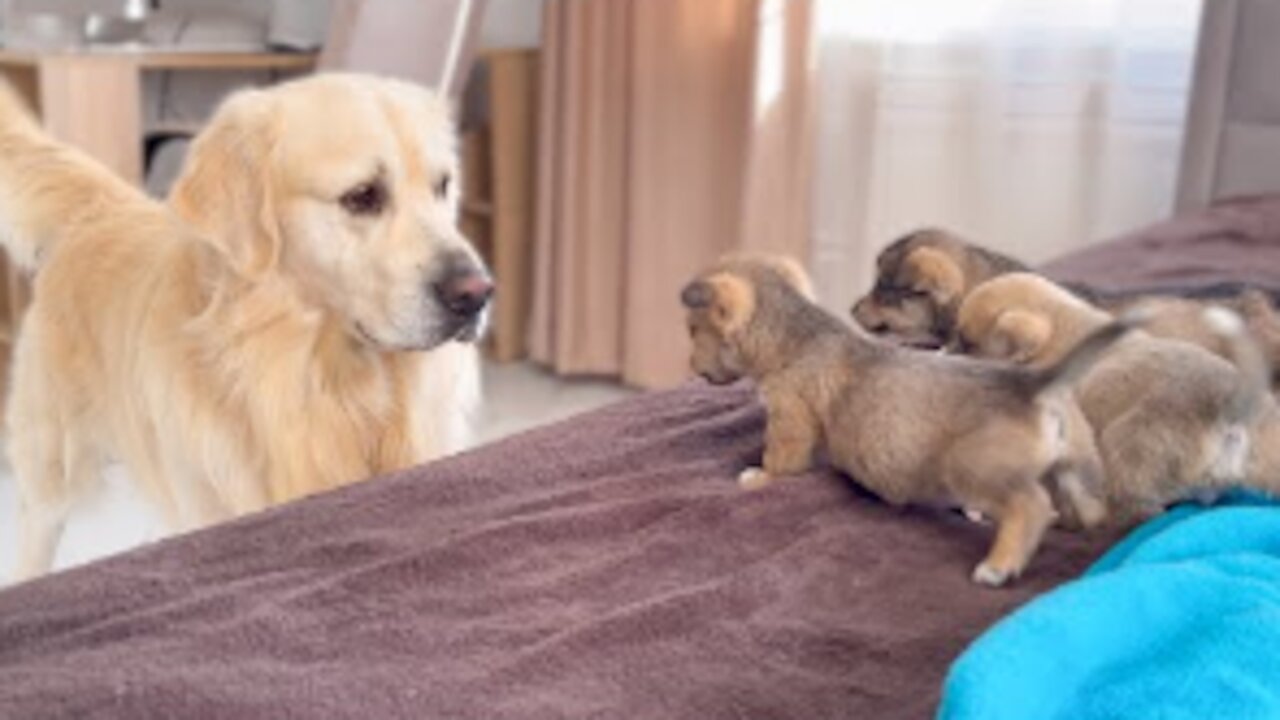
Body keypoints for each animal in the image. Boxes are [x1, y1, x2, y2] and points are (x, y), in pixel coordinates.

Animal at [680, 254, 1131, 586]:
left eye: (692, 330)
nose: (692, 368)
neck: (793, 337)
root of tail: (1033, 384)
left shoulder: (790, 421)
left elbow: (779, 462)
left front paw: (757, 477)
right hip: (1075, 468)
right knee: (1088, 511)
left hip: (971, 468)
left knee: (1030, 505)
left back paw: (998, 565)